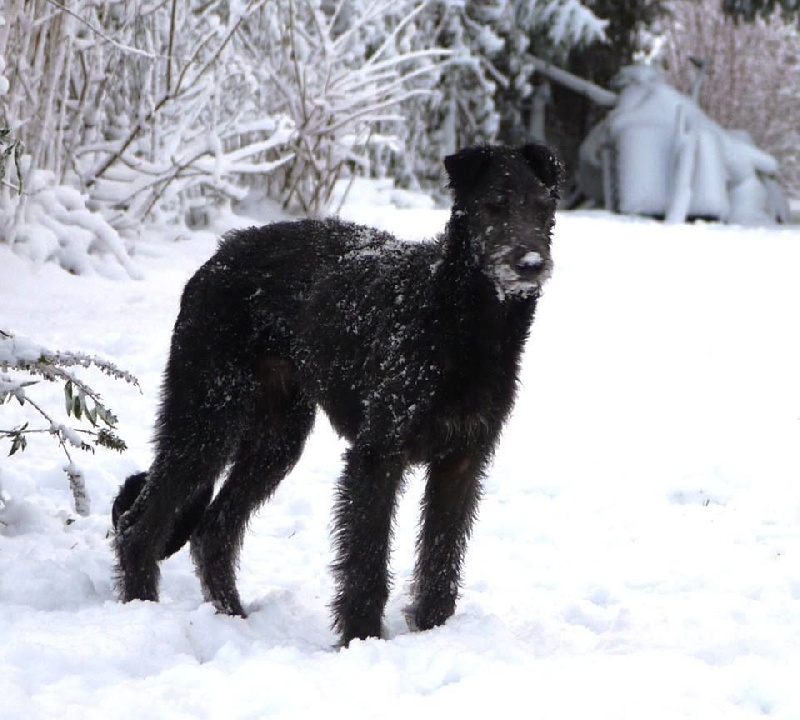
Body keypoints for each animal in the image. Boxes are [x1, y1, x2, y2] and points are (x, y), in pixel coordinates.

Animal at [113, 143, 562, 646]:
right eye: (495, 205)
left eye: (544, 209)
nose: (530, 264)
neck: (456, 318)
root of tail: (220, 255)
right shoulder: (377, 455)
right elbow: (367, 561)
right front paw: (362, 639)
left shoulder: (462, 460)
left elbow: (441, 558)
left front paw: (433, 630)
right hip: (206, 415)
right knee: (139, 525)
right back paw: (141, 611)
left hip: (275, 439)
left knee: (214, 531)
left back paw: (232, 618)